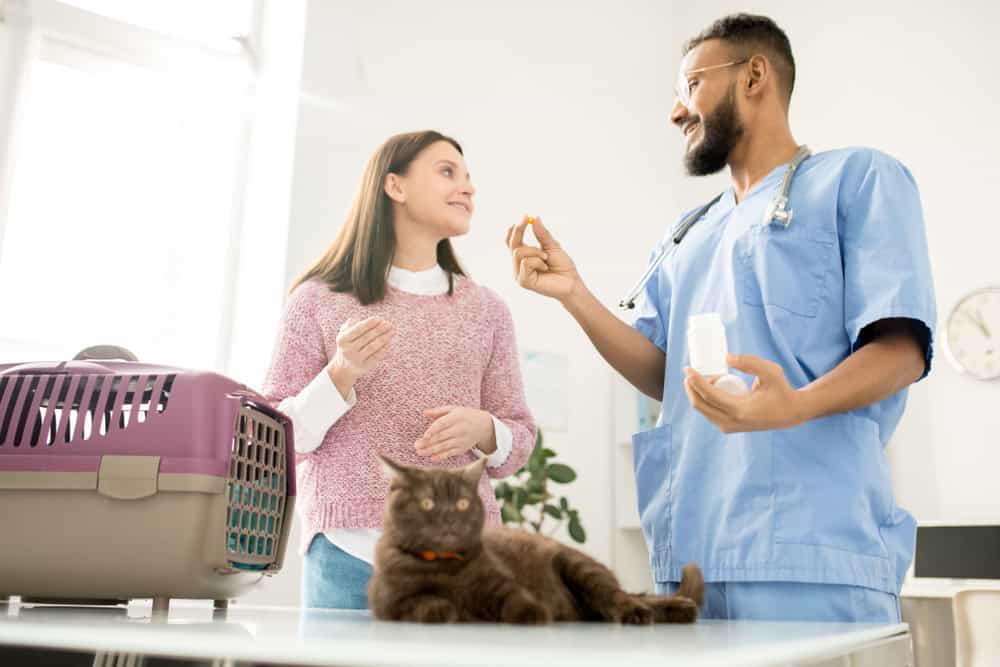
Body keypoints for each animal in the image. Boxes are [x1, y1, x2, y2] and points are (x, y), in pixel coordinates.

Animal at [368, 456, 704, 624]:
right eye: (427, 503)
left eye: (462, 503)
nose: (450, 519)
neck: (445, 566)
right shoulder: (388, 601)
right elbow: (421, 603)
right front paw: (445, 608)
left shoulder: (499, 581)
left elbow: (517, 599)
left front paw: (535, 615)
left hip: (577, 567)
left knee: (620, 597)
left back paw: (650, 612)